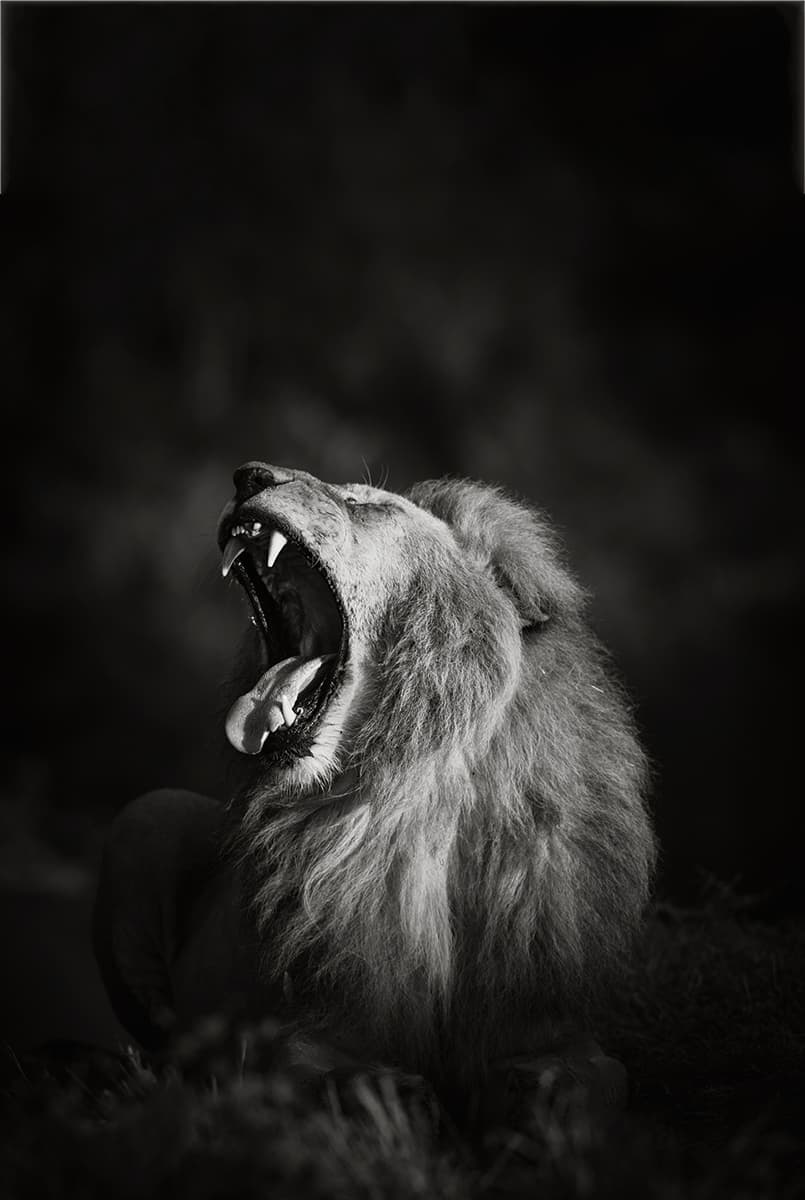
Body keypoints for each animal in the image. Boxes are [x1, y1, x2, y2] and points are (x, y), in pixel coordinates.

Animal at [94, 460, 657, 1123]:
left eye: (366, 505)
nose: (248, 474)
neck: (421, 791)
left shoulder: (549, 1020)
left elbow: (601, 1076)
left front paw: (531, 1098)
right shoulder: (308, 1026)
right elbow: (322, 1073)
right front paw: (395, 1095)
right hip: (146, 815)